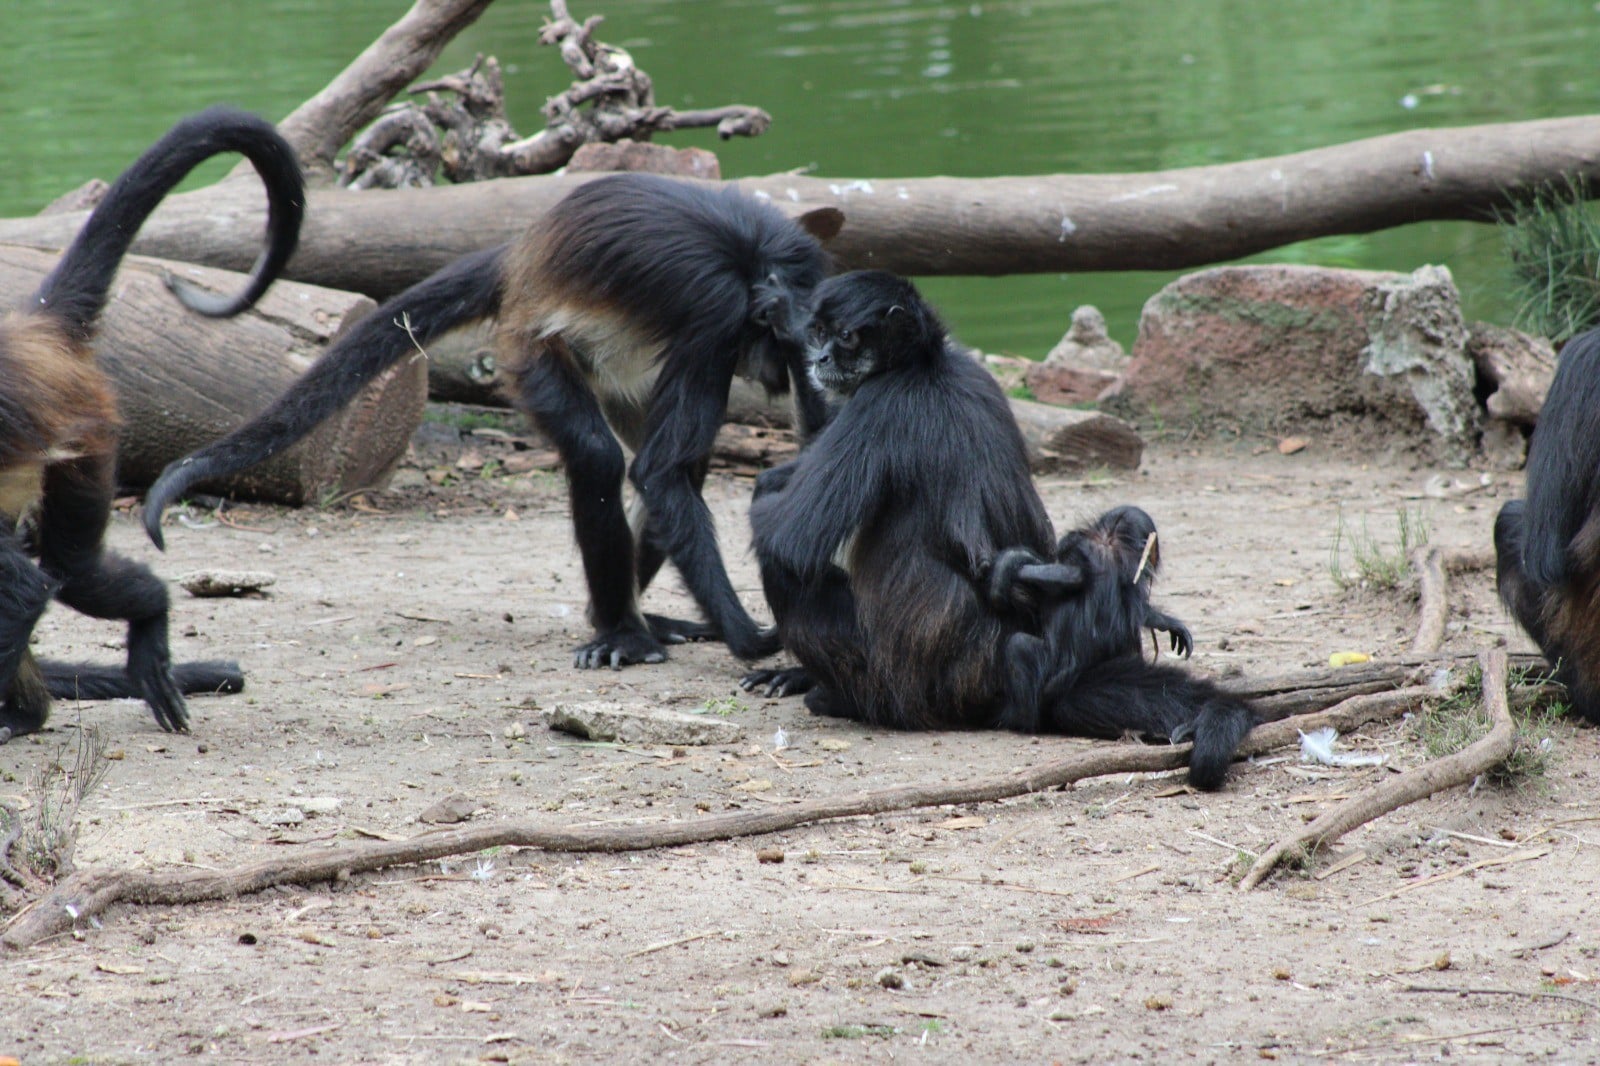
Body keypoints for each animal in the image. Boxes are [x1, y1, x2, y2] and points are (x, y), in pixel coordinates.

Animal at [142, 172, 842, 670]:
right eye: (785, 340)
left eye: (817, 346)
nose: (795, 369)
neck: (758, 261)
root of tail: (522, 255)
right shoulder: (714, 318)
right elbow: (661, 472)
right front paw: (748, 635)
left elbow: (681, 473)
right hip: (529, 346)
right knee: (602, 456)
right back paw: (622, 630)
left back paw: (628, 621)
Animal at [742, 271, 1255, 788]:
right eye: (820, 333)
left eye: (844, 336)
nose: (821, 358)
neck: (928, 364)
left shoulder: (879, 403)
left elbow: (790, 540)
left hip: (904, 688)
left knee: (785, 565)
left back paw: (834, 696)